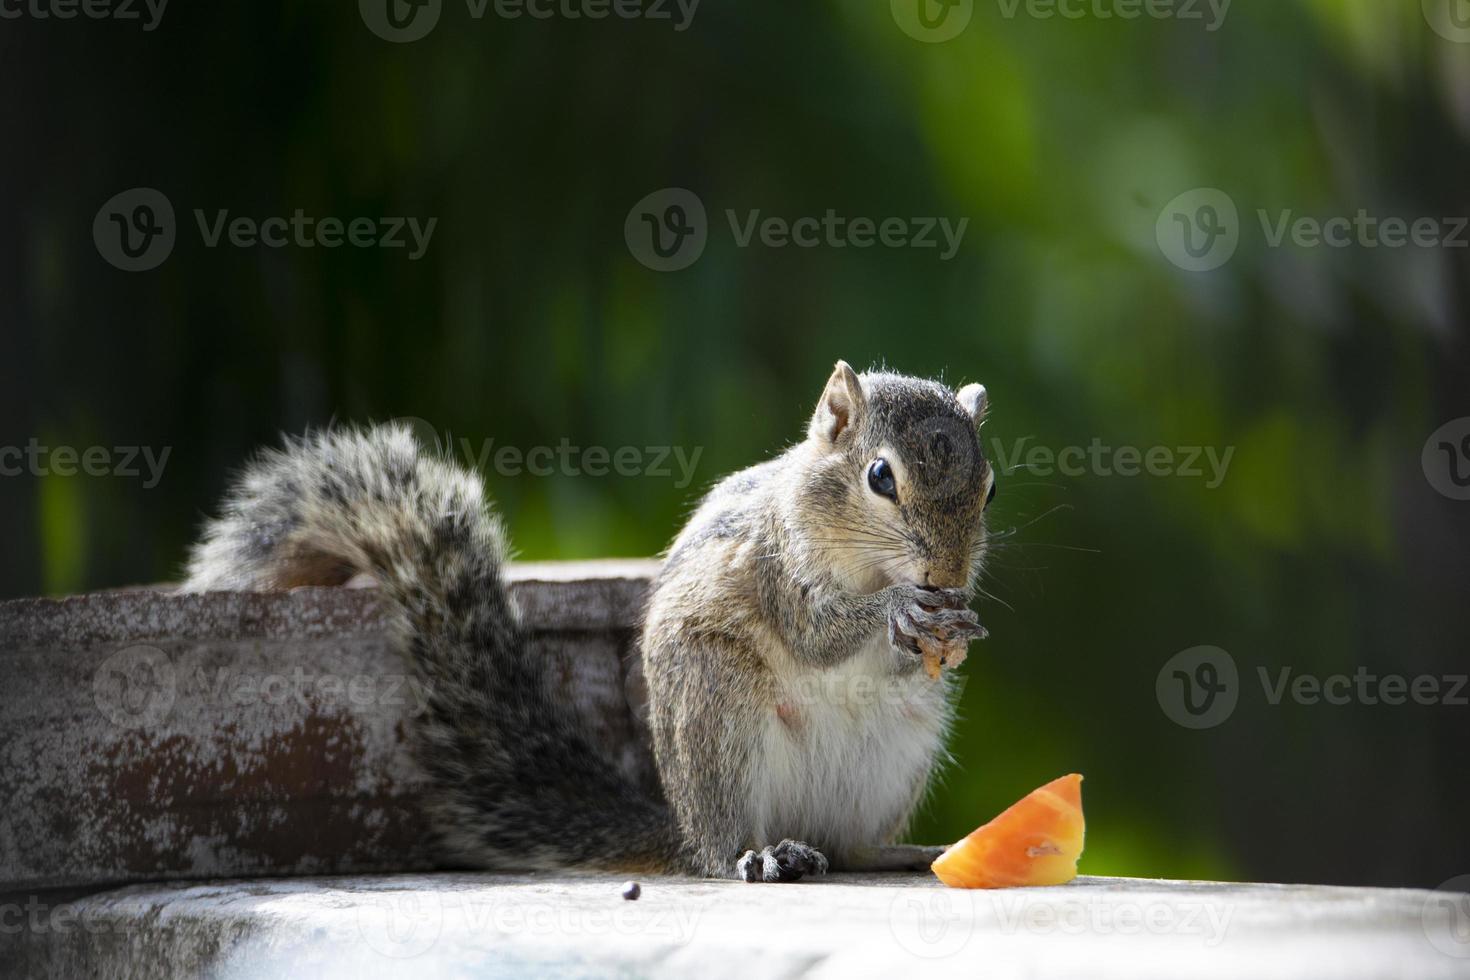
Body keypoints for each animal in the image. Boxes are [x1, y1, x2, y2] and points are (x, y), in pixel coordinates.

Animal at [177, 359, 993, 881]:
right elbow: (814, 632)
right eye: (880, 476)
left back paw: (904, 853)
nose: (948, 577)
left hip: (901, 749)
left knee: (850, 847)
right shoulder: (772, 562)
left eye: (988, 487)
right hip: (718, 714)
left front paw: (957, 631)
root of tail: (683, 828)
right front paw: (897, 610)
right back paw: (758, 855)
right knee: (726, 844)